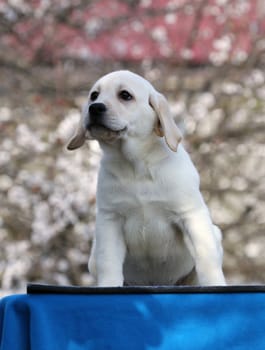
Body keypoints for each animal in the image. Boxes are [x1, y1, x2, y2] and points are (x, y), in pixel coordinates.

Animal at [67, 69, 225, 286]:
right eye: (94, 95)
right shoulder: (110, 220)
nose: (94, 108)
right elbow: (109, 263)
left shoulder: (191, 214)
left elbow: (206, 259)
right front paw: (109, 286)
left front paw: (215, 285)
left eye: (125, 95)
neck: (136, 165)